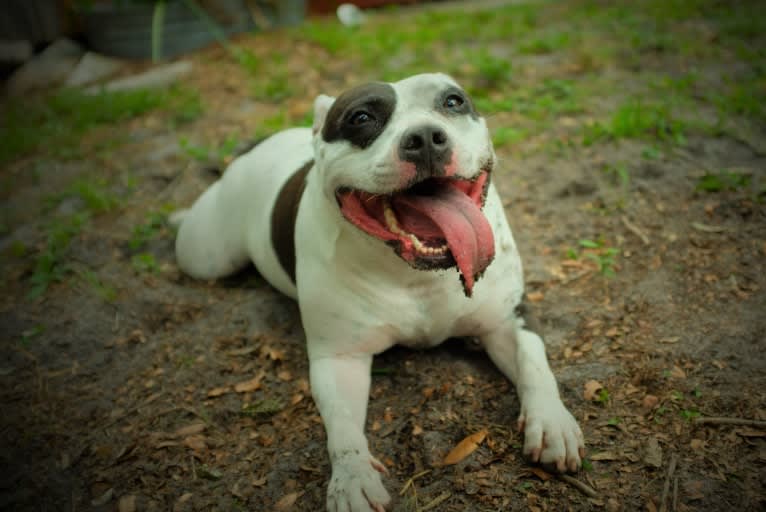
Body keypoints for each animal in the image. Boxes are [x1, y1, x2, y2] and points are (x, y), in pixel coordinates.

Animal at [174, 73, 584, 512]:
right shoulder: (340, 358)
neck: (416, 274)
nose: (425, 137)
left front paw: (552, 420)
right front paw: (352, 477)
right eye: (361, 118)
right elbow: (342, 427)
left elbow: (534, 363)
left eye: (452, 101)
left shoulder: (508, 319)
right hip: (206, 256)